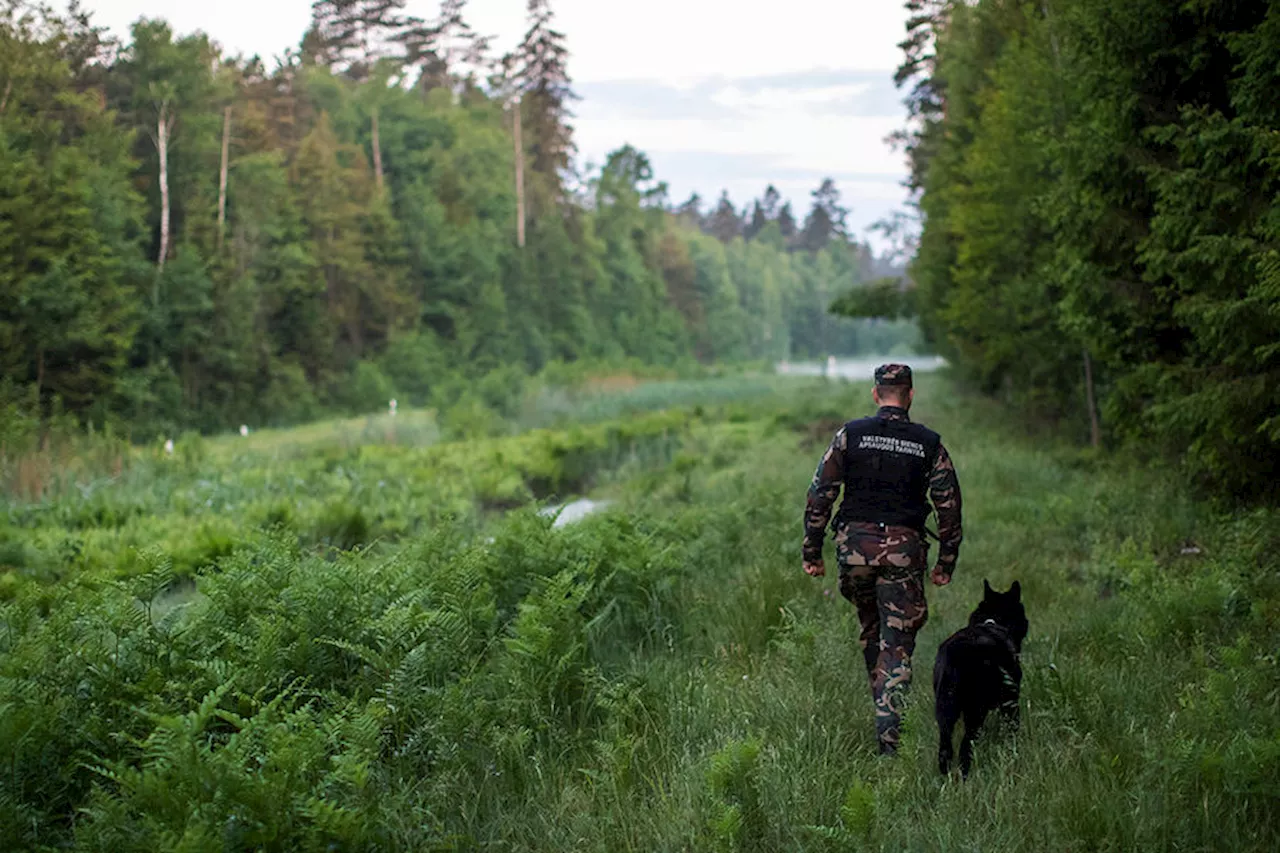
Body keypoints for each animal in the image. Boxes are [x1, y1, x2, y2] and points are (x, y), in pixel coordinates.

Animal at [931, 573, 1029, 773]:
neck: (992, 622)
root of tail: (957, 657)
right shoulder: (1010, 701)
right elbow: (1013, 727)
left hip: (945, 711)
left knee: (945, 749)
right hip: (975, 712)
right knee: (965, 747)